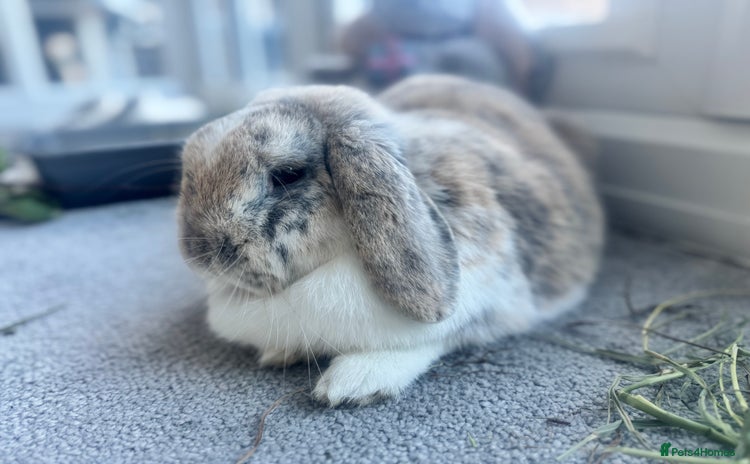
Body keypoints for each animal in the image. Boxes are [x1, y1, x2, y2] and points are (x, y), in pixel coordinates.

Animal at [177, 74, 604, 406]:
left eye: (288, 175)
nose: (199, 255)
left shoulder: (490, 301)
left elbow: (432, 340)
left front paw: (352, 383)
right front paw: (279, 352)